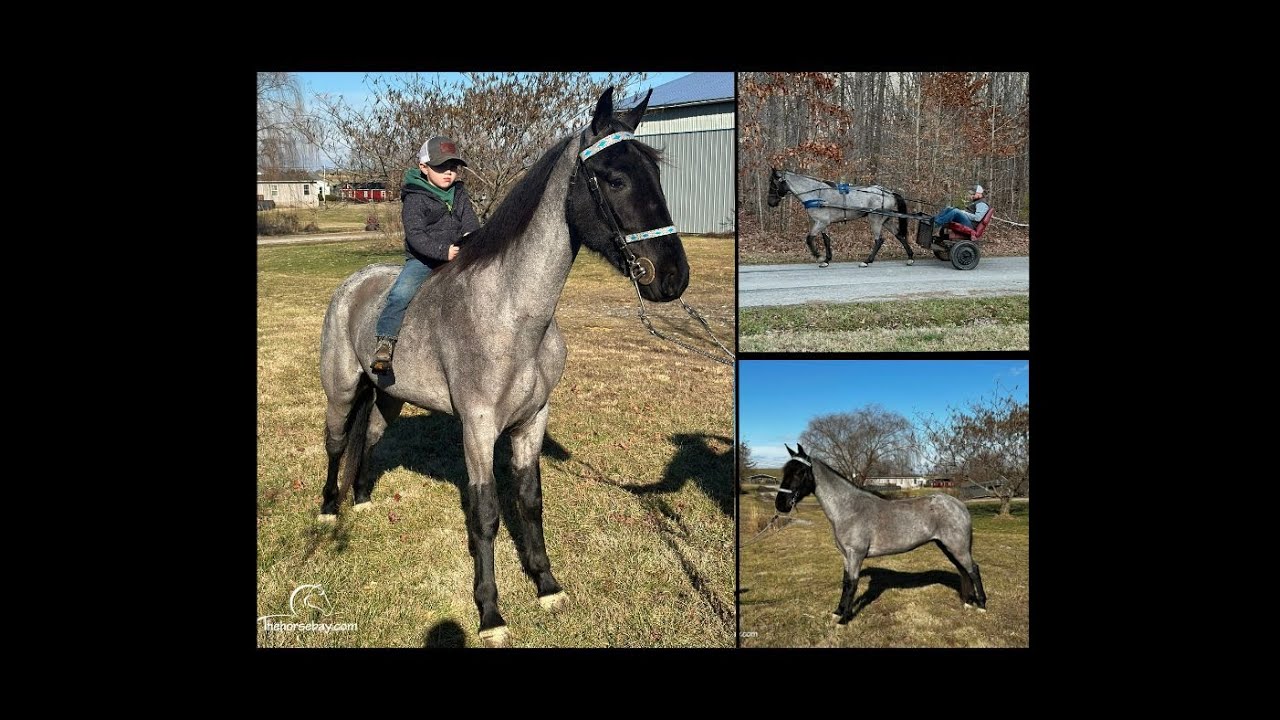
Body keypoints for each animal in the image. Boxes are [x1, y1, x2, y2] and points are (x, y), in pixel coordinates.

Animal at [317, 88, 690, 647]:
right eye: (615, 178)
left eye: (655, 173)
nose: (672, 276)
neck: (512, 314)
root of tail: (351, 285)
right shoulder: (477, 428)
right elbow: (486, 514)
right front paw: (490, 612)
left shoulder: (532, 421)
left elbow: (530, 501)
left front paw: (546, 584)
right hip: (341, 390)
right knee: (338, 442)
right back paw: (326, 511)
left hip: (389, 397)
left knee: (372, 436)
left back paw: (361, 500)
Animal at [767, 168, 914, 268]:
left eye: (773, 184)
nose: (770, 202)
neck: (816, 194)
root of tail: (889, 193)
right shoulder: (822, 222)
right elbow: (826, 240)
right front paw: (827, 259)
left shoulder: (821, 222)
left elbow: (809, 238)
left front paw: (819, 257)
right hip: (886, 220)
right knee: (899, 235)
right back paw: (910, 257)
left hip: (875, 220)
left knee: (879, 240)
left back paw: (867, 261)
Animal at [776, 444, 986, 624]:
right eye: (785, 471)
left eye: (800, 472)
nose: (781, 504)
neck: (849, 508)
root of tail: (959, 505)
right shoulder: (845, 555)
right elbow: (845, 582)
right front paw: (838, 611)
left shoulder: (856, 555)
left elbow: (852, 584)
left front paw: (844, 619)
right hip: (948, 546)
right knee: (963, 571)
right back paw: (968, 602)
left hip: (957, 547)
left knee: (973, 569)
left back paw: (982, 605)